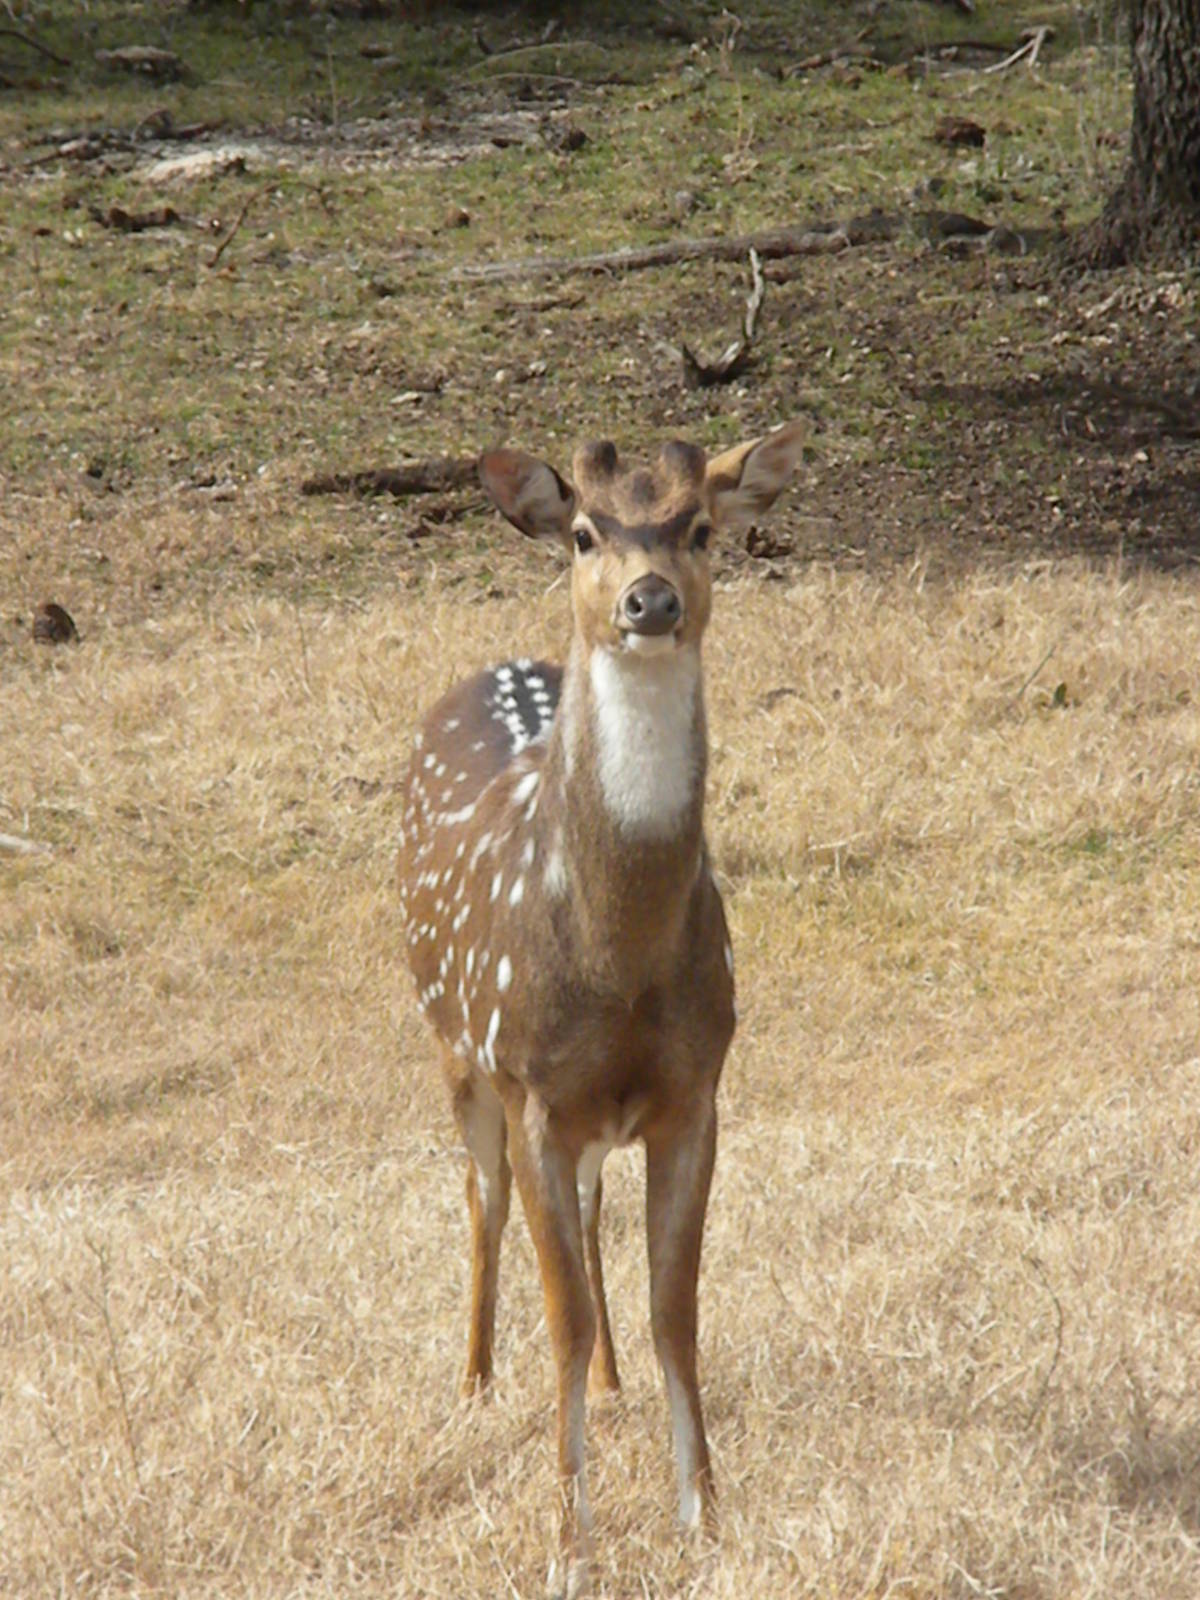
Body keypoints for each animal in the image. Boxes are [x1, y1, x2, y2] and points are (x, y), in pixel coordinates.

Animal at [397, 420, 807, 1596]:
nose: (649, 599)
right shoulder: (531, 1081)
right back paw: (476, 1385)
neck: (616, 960)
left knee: (585, 1208)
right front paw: (568, 1538)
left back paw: (616, 1387)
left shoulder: (696, 1089)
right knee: (483, 1200)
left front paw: (704, 1515)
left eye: (702, 526)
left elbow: (678, 1309)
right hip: (454, 1040)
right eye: (585, 531)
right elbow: (564, 1317)